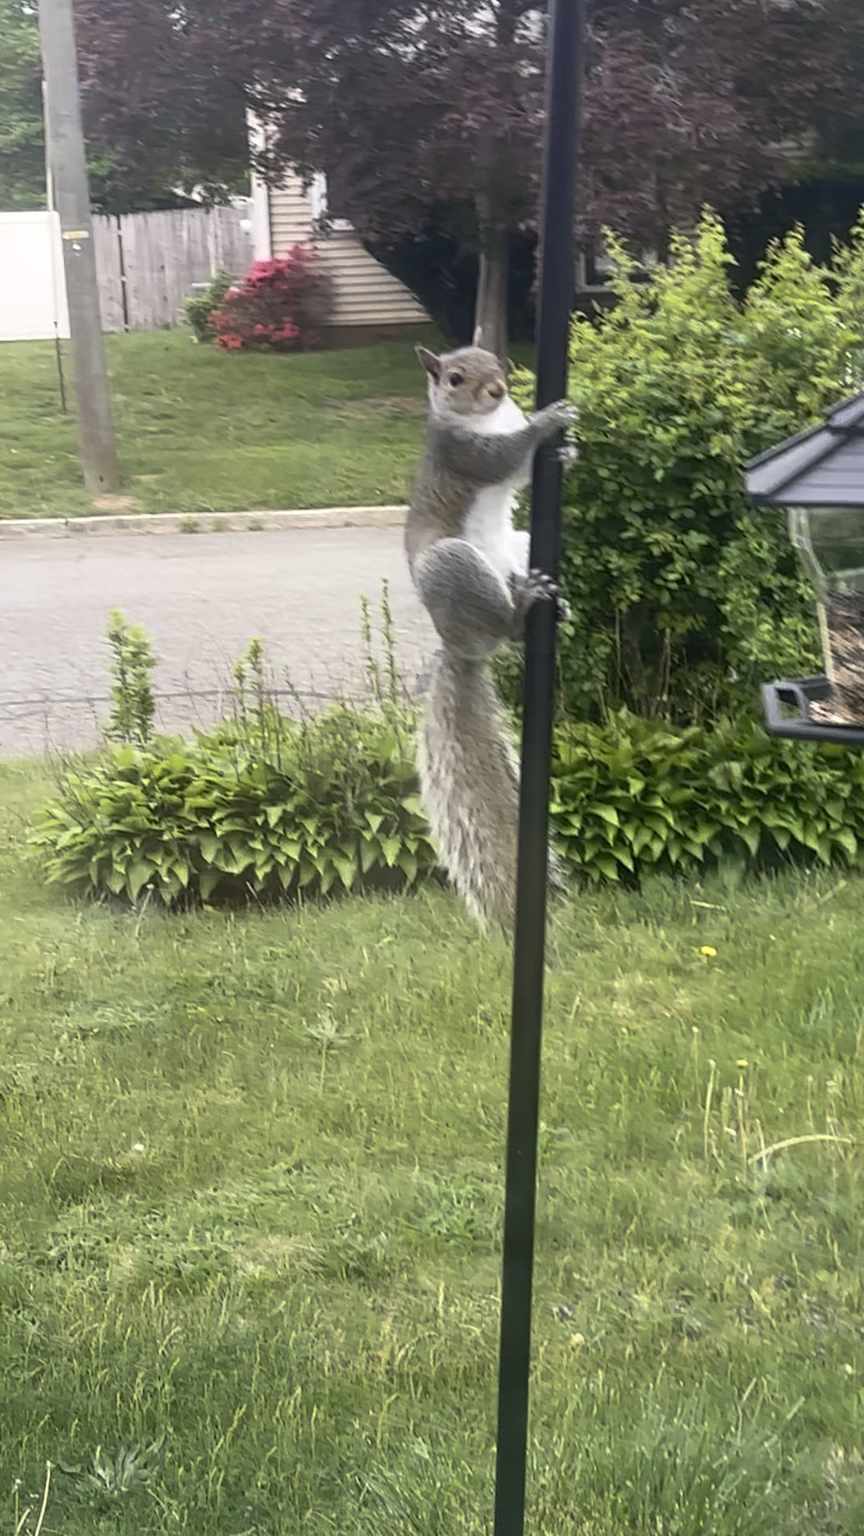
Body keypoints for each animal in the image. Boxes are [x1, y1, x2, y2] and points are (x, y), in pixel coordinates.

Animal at [405, 342, 576, 928]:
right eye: (455, 378)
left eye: (497, 364)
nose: (499, 390)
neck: (486, 418)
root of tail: (459, 647)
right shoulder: (463, 452)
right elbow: (506, 458)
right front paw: (549, 422)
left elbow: (522, 477)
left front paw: (569, 453)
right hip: (455, 567)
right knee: (506, 629)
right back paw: (521, 612)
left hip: (520, 545)